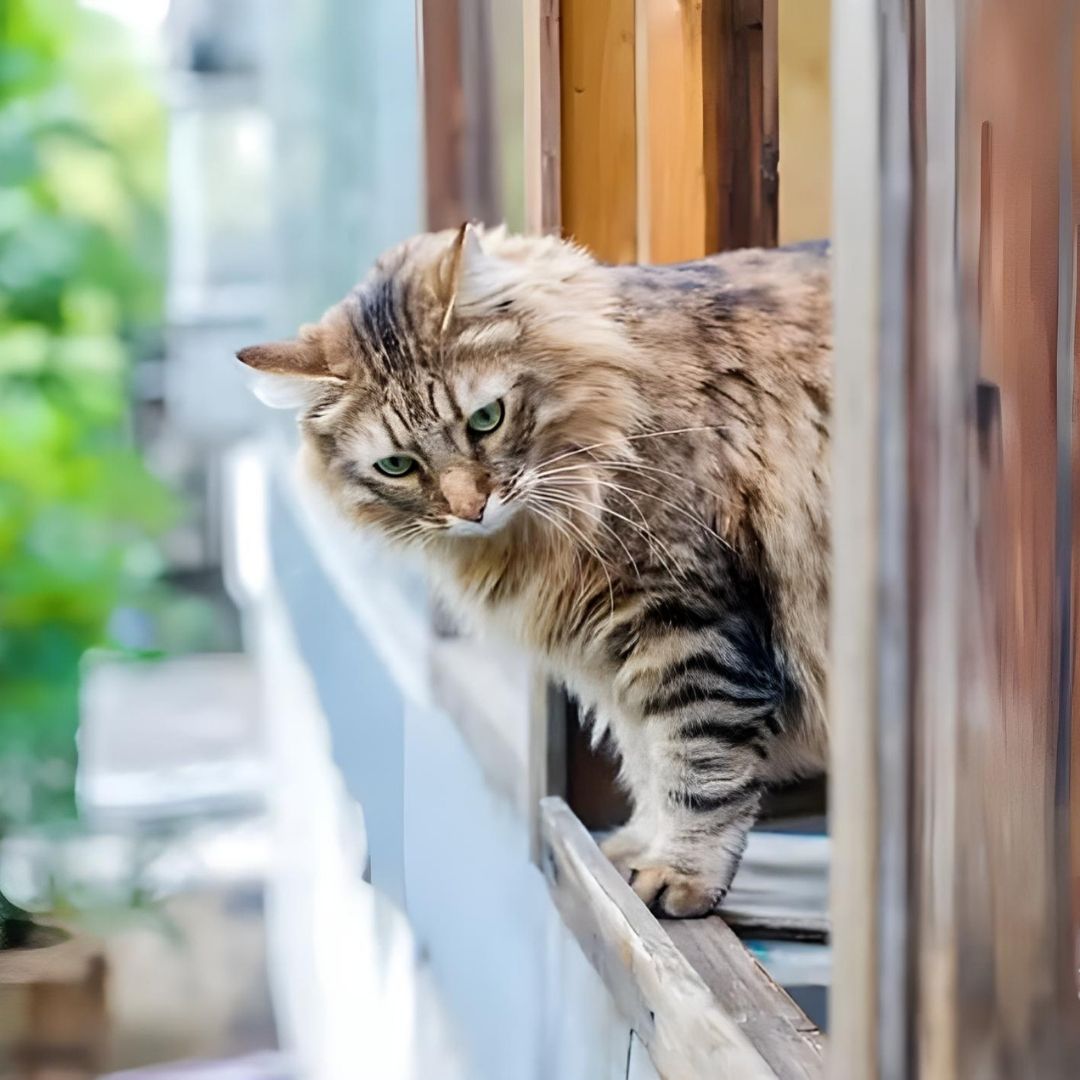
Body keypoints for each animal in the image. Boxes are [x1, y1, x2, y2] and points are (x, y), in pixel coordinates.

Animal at [238, 223, 825, 915]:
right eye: (398, 466)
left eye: (485, 419)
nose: (470, 509)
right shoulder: (623, 655)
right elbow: (650, 764)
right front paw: (631, 852)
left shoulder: (689, 626)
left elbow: (698, 770)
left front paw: (678, 874)